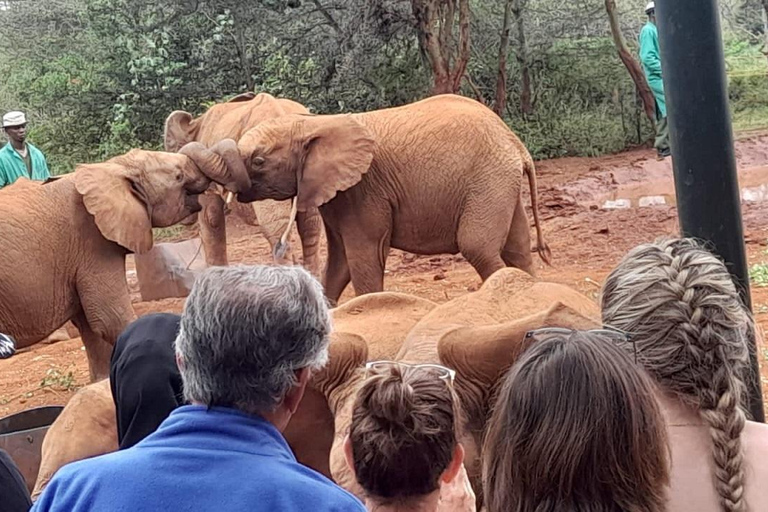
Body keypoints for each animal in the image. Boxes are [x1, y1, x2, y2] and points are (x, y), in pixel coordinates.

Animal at [0, 142, 248, 382]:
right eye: (178, 176)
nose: (229, 196)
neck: (113, 168)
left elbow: (90, 326)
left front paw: (99, 382)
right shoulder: (92, 242)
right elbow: (111, 318)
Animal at [228, 93, 552, 304]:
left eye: (258, 160)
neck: (314, 123)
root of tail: (516, 144)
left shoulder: (363, 190)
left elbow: (364, 258)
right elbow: (340, 263)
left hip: (487, 180)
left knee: (478, 247)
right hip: (501, 182)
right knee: (517, 249)